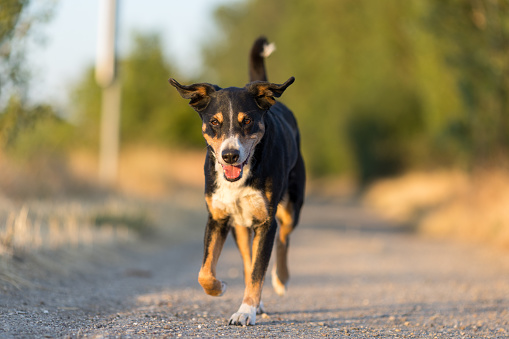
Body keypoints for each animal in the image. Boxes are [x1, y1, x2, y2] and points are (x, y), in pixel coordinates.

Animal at [170, 36, 306, 326]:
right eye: (214, 121)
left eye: (248, 121)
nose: (230, 155)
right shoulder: (217, 218)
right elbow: (205, 272)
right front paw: (220, 287)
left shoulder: (266, 221)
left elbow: (258, 270)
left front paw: (245, 312)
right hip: (240, 227)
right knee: (247, 259)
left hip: (291, 206)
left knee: (284, 238)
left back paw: (281, 280)